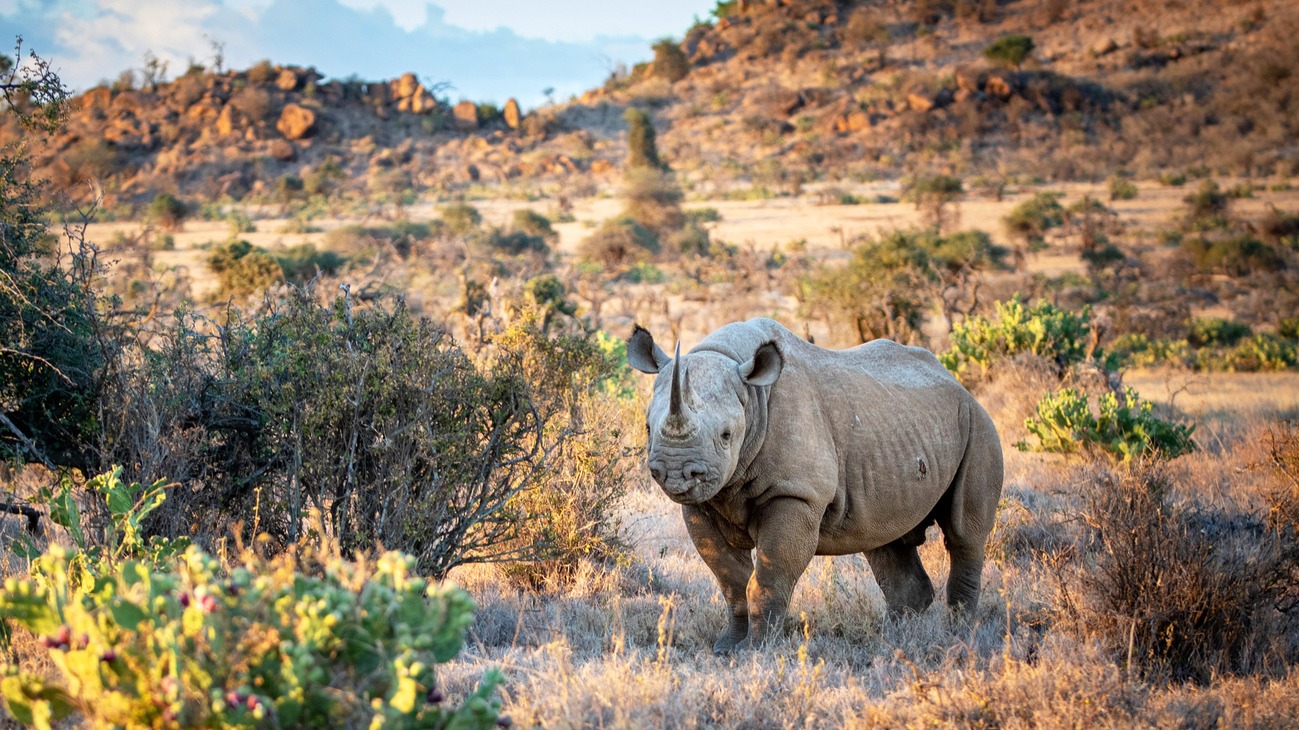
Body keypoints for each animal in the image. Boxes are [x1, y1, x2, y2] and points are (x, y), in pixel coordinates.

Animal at [627, 318, 1003, 653]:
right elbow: (731, 580)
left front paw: (756, 650)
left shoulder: (796, 493)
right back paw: (894, 639)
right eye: (646, 427)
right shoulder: (700, 502)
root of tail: (956, 382)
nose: (675, 473)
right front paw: (726, 648)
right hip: (900, 430)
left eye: (726, 435)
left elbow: (768, 579)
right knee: (884, 538)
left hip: (977, 423)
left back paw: (957, 636)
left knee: (964, 534)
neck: (750, 394)